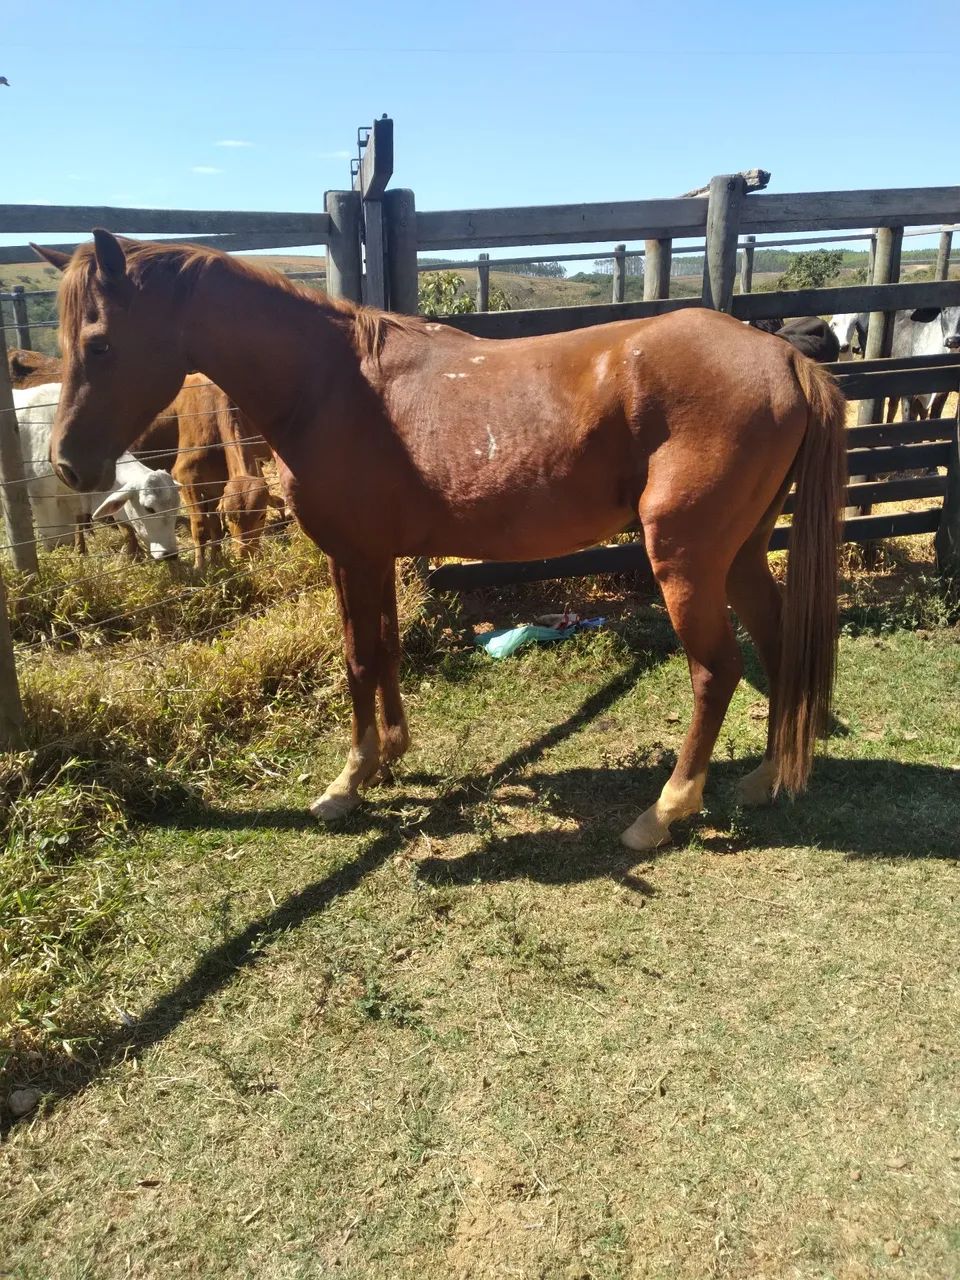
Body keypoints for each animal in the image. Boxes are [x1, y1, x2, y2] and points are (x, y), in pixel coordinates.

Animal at [34, 230, 846, 852]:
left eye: (99, 344)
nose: (68, 463)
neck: (331, 383)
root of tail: (783, 358)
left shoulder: (355, 556)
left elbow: (360, 658)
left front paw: (350, 781)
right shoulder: (371, 557)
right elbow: (386, 650)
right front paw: (390, 755)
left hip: (685, 560)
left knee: (717, 669)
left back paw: (666, 811)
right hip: (740, 556)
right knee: (779, 641)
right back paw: (766, 777)